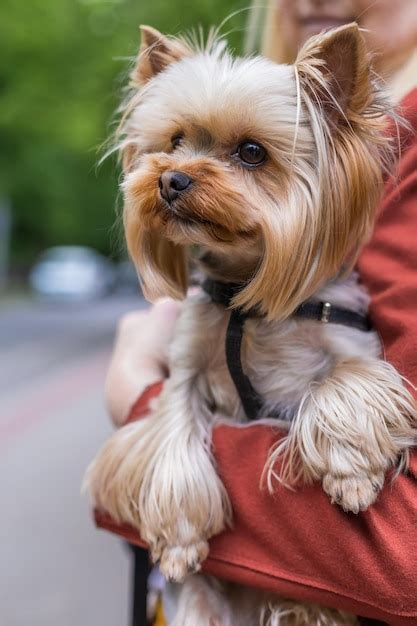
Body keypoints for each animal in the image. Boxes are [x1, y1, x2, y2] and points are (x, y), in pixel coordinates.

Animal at [86, 22, 414, 620]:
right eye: (175, 141)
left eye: (252, 152)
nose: (171, 180)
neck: (245, 298)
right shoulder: (187, 363)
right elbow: (174, 433)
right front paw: (180, 539)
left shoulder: (352, 340)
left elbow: (343, 382)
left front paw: (352, 473)